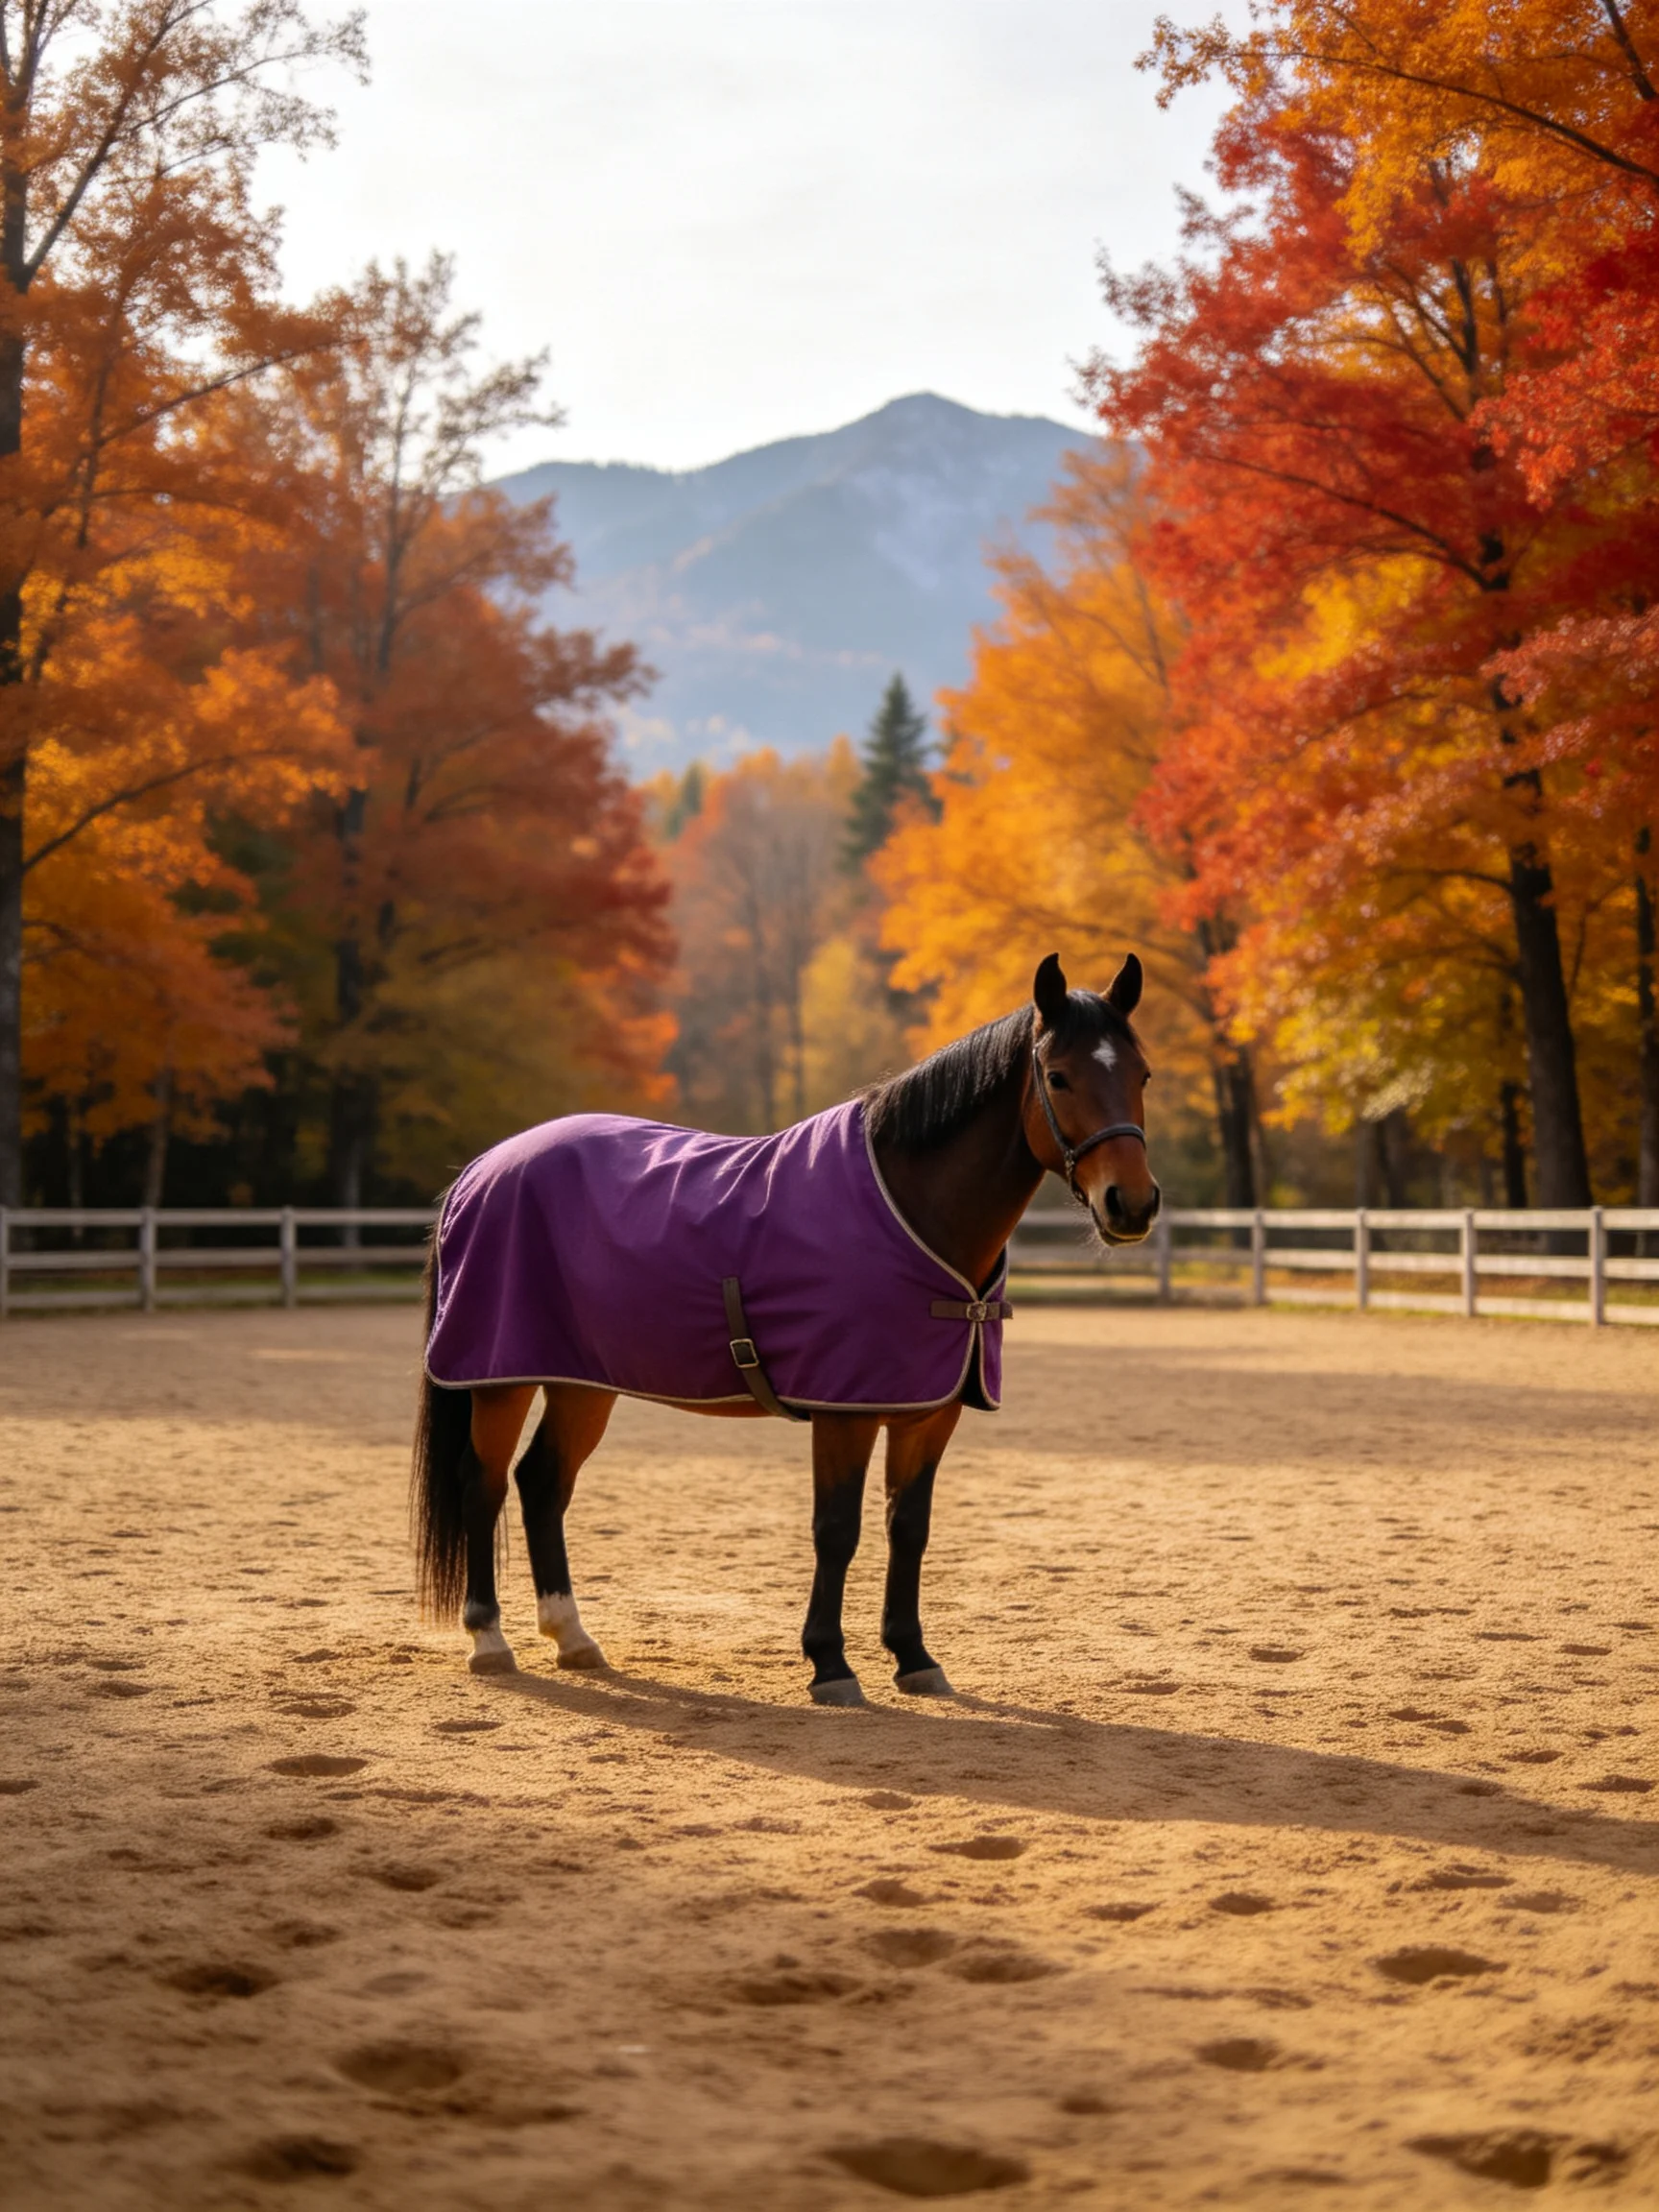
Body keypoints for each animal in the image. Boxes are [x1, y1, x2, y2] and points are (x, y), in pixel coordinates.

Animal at [410, 950, 1158, 1705]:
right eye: (1058, 1075)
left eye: (1142, 1074)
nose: (1132, 1204)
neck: (908, 1207)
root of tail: (481, 1169)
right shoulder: (845, 1411)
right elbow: (837, 1530)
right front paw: (830, 1664)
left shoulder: (929, 1411)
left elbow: (908, 1528)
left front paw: (913, 1657)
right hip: (500, 1379)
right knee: (484, 1482)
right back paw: (490, 1640)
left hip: (581, 1381)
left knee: (542, 1483)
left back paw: (572, 1637)